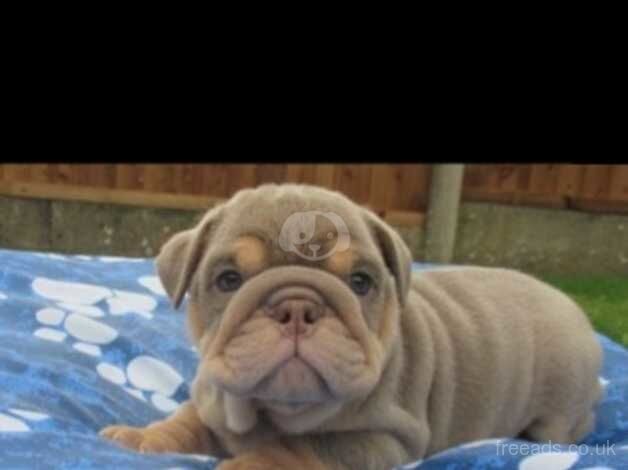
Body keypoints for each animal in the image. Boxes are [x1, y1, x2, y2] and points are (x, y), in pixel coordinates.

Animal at [100, 184, 600, 470]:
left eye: (360, 282)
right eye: (228, 280)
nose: (297, 306)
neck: (273, 412)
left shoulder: (382, 440)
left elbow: (306, 448)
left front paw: (249, 463)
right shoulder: (212, 399)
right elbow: (184, 420)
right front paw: (141, 438)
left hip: (558, 416)